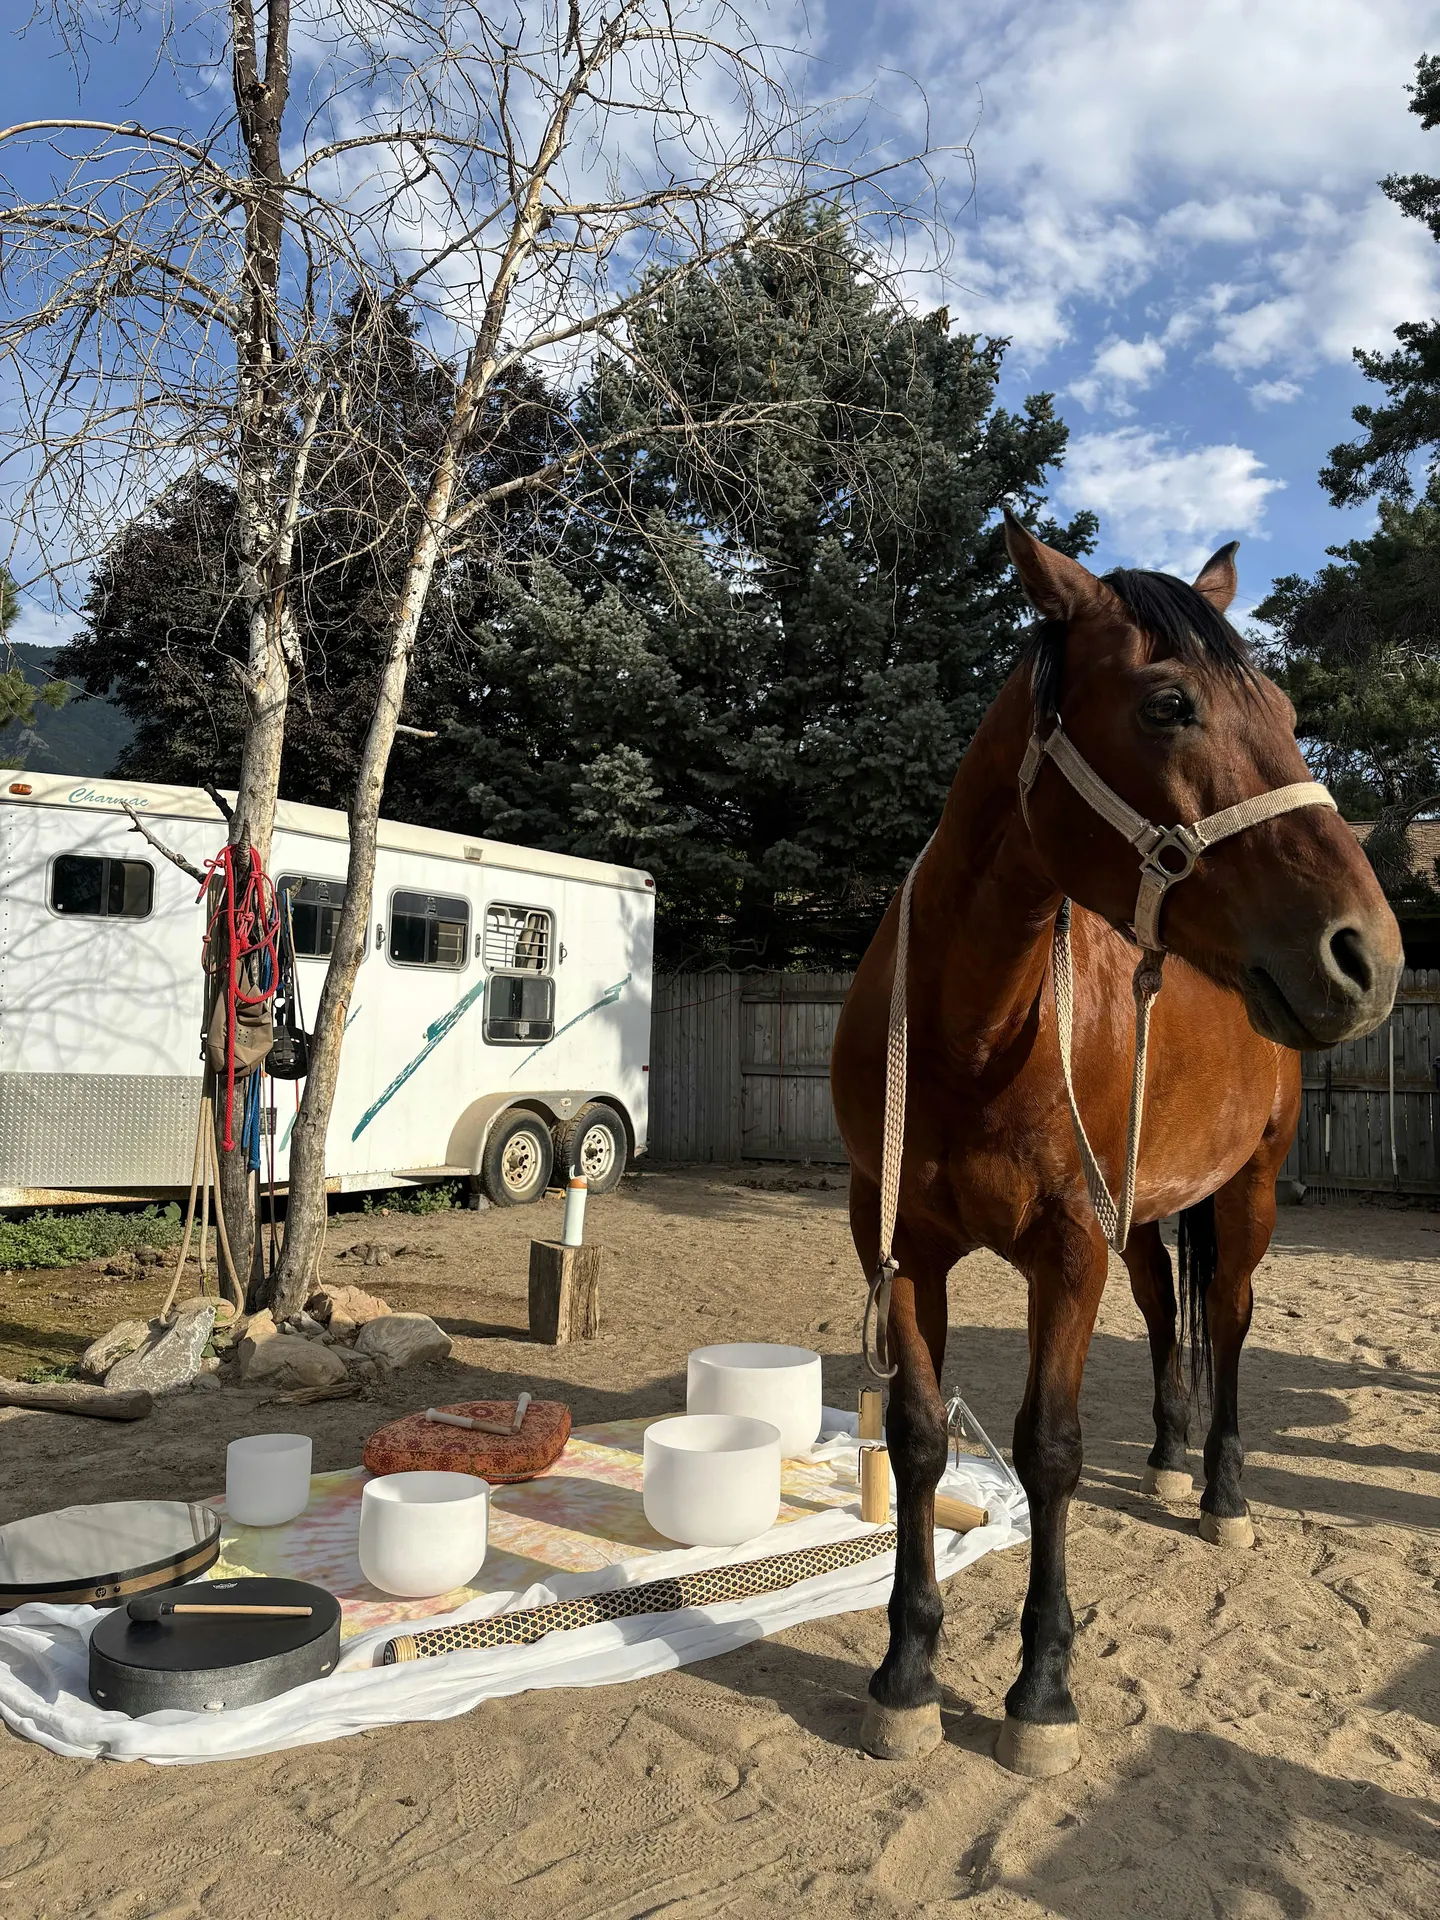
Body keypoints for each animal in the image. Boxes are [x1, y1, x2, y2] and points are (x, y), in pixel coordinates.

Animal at [830, 514, 1402, 1779]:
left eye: (1288, 707)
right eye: (1168, 705)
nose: (1368, 956)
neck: (976, 1032)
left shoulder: (1067, 1248)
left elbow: (1049, 1450)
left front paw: (1042, 1690)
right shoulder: (900, 1244)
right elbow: (918, 1443)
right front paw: (906, 1673)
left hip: (1247, 1195)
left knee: (1227, 1322)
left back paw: (1222, 1493)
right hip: (1142, 1207)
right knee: (1165, 1316)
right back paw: (1171, 1455)